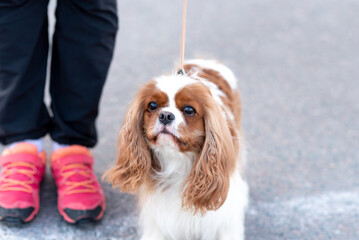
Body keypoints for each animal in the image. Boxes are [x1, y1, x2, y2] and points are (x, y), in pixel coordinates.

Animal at [105, 58, 249, 240]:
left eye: (188, 110)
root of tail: (207, 60)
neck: (177, 160)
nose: (165, 115)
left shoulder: (225, 218)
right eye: (152, 105)